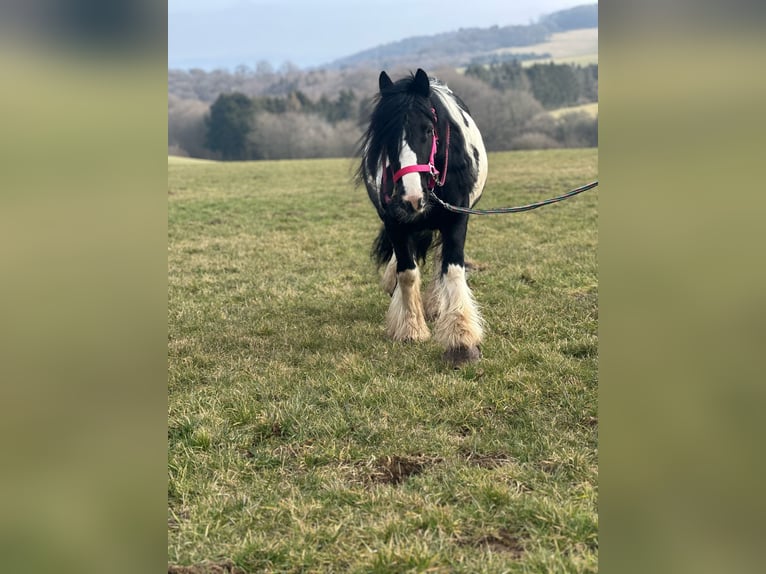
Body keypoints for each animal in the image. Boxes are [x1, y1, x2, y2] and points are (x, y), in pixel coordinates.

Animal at [360, 70, 492, 366]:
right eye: (385, 136)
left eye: (428, 130)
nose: (412, 197)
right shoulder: (394, 222)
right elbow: (407, 273)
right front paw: (411, 328)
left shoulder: (457, 219)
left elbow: (452, 268)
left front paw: (462, 338)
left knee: (439, 260)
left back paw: (436, 304)